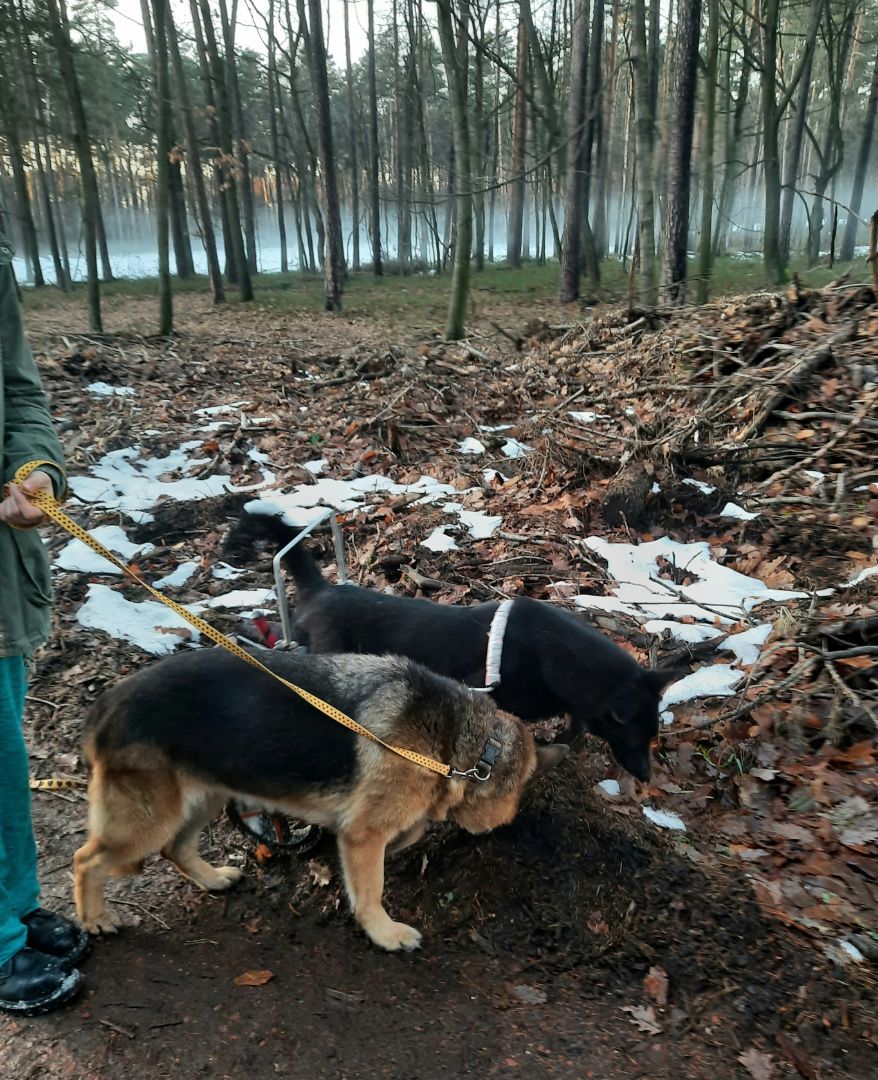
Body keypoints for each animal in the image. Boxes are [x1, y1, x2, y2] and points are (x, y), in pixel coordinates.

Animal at [74, 647, 567, 952]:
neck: (469, 749)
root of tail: (104, 706)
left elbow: (408, 832)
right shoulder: (364, 832)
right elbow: (371, 887)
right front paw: (383, 933)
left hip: (206, 797)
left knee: (175, 848)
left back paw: (212, 879)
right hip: (149, 819)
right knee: (86, 859)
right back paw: (94, 917)